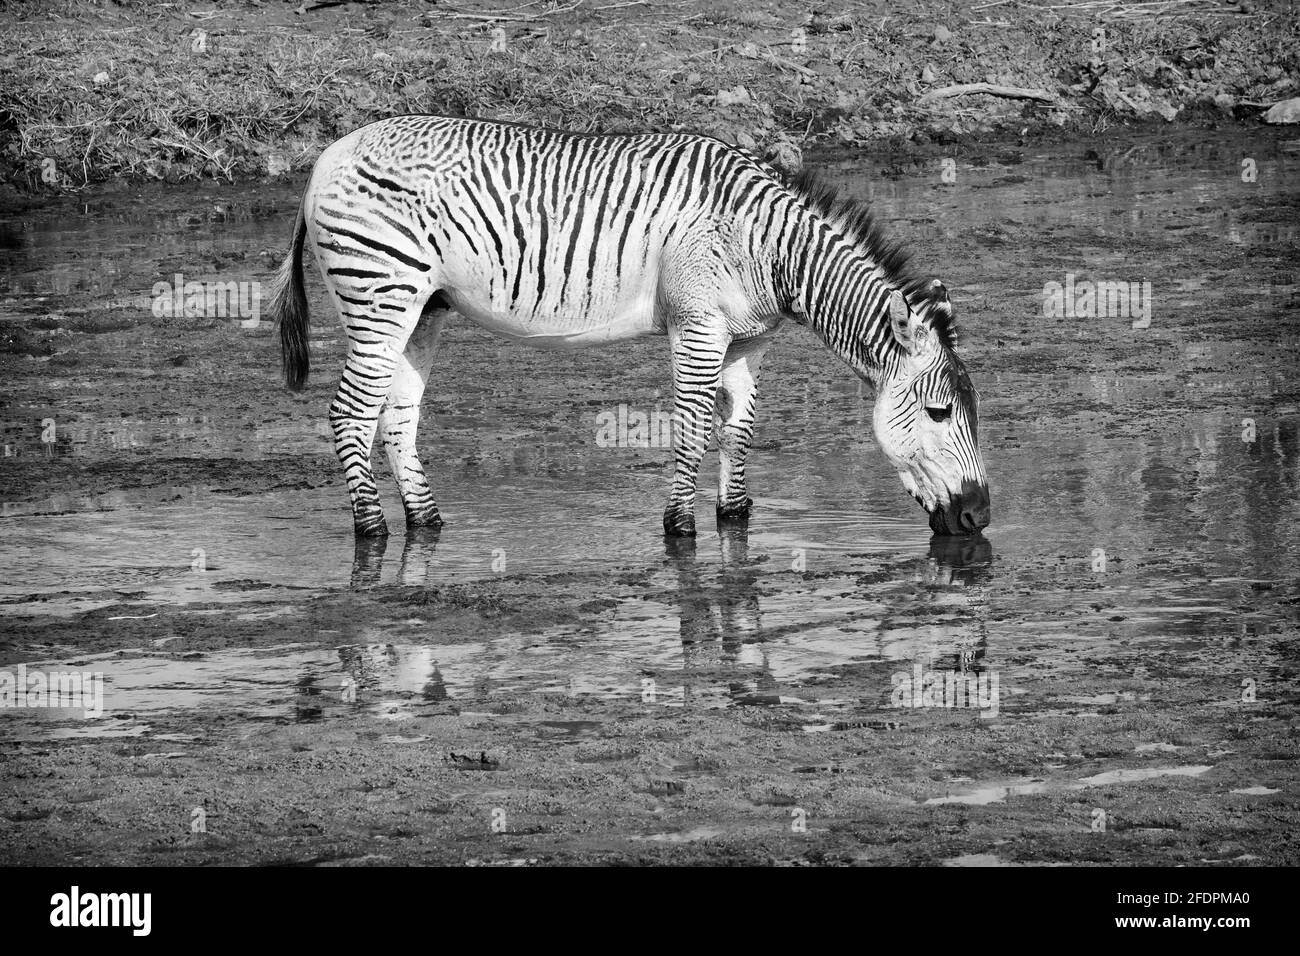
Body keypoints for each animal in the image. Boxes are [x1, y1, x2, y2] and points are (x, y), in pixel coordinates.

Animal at [269, 113, 987, 538]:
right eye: (940, 413)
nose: (980, 516)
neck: (767, 245)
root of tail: (329, 154)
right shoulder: (697, 327)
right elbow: (693, 430)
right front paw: (679, 529)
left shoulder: (749, 340)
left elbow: (740, 431)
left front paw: (734, 515)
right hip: (380, 299)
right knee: (349, 415)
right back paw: (372, 530)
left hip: (422, 310)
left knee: (395, 417)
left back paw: (427, 521)